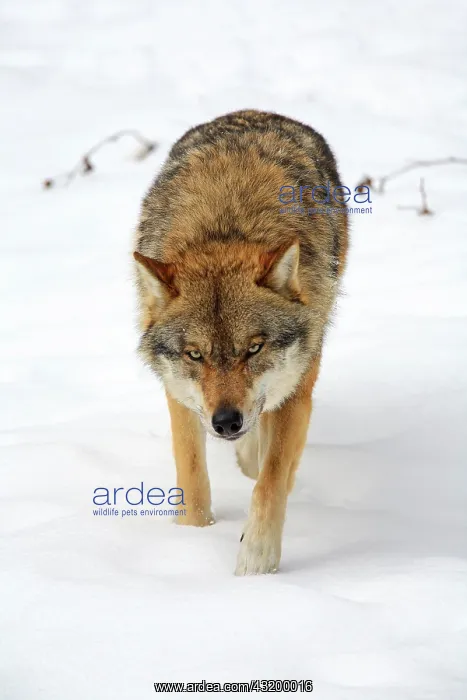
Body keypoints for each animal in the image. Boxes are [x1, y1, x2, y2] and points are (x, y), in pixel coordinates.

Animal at [133, 110, 348, 575]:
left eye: (254, 348)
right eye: (195, 354)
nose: (226, 422)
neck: (225, 227)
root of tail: (256, 112)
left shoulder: (296, 393)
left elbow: (271, 480)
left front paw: (257, 562)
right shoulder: (180, 394)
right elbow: (192, 478)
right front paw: (191, 543)